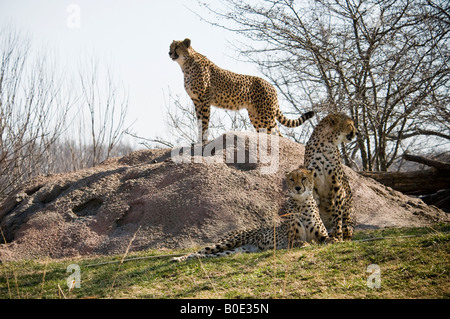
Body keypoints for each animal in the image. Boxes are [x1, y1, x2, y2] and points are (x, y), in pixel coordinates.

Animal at [169, 37, 312, 142]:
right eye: (170, 46)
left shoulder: (204, 100)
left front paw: (204, 141)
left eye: (177, 47)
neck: (186, 63)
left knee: (277, 133)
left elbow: (204, 122)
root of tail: (272, 86)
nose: (169, 53)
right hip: (255, 116)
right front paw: (199, 141)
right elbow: (199, 122)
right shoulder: (196, 101)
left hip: (266, 114)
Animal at [172, 168, 334, 262]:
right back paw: (178, 258)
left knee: (207, 255)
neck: (301, 203)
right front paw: (305, 244)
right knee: (200, 250)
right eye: (292, 179)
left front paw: (334, 240)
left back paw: (191, 258)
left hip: (234, 250)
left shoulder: (321, 235)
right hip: (228, 242)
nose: (298, 188)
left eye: (303, 178)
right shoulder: (290, 239)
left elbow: (328, 238)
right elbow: (298, 241)